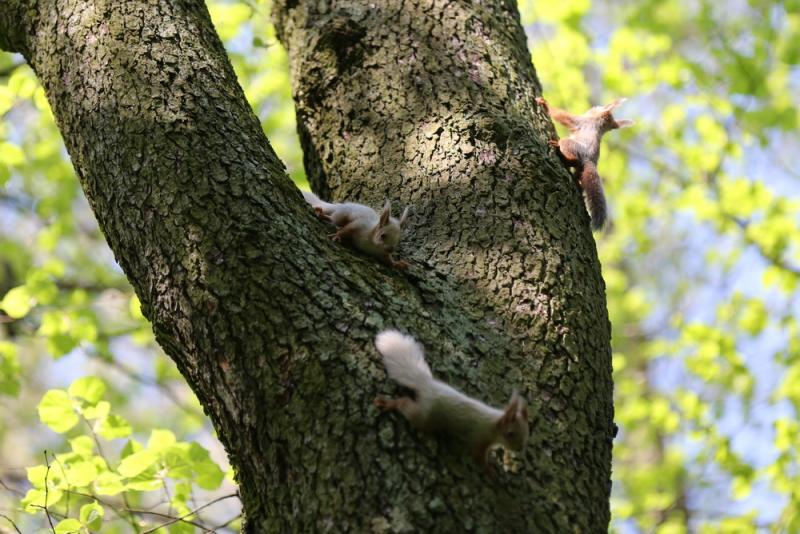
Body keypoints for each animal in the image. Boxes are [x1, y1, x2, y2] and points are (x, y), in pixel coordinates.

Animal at [372, 330, 528, 468]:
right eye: (510, 433)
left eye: (526, 433)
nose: (520, 448)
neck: (494, 424)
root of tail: (427, 384)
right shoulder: (480, 438)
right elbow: (478, 458)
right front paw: (491, 470)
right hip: (424, 416)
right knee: (405, 404)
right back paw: (388, 403)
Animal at [536, 97, 636, 231]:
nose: (595, 107)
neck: (599, 124)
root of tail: (589, 161)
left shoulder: (581, 121)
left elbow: (562, 116)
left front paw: (544, 103)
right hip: (580, 168)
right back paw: (578, 182)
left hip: (569, 145)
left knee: (572, 158)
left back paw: (560, 152)